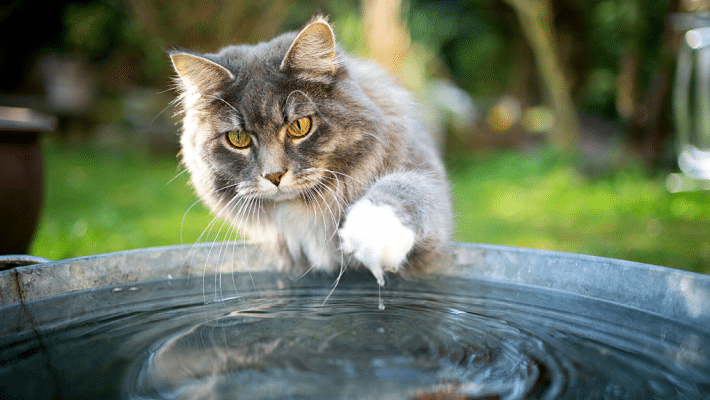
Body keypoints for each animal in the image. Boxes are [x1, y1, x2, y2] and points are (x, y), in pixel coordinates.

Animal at [170, 14, 454, 284]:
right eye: (238, 138)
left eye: (299, 126)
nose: (274, 176)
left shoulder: (426, 183)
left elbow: (407, 187)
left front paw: (372, 230)